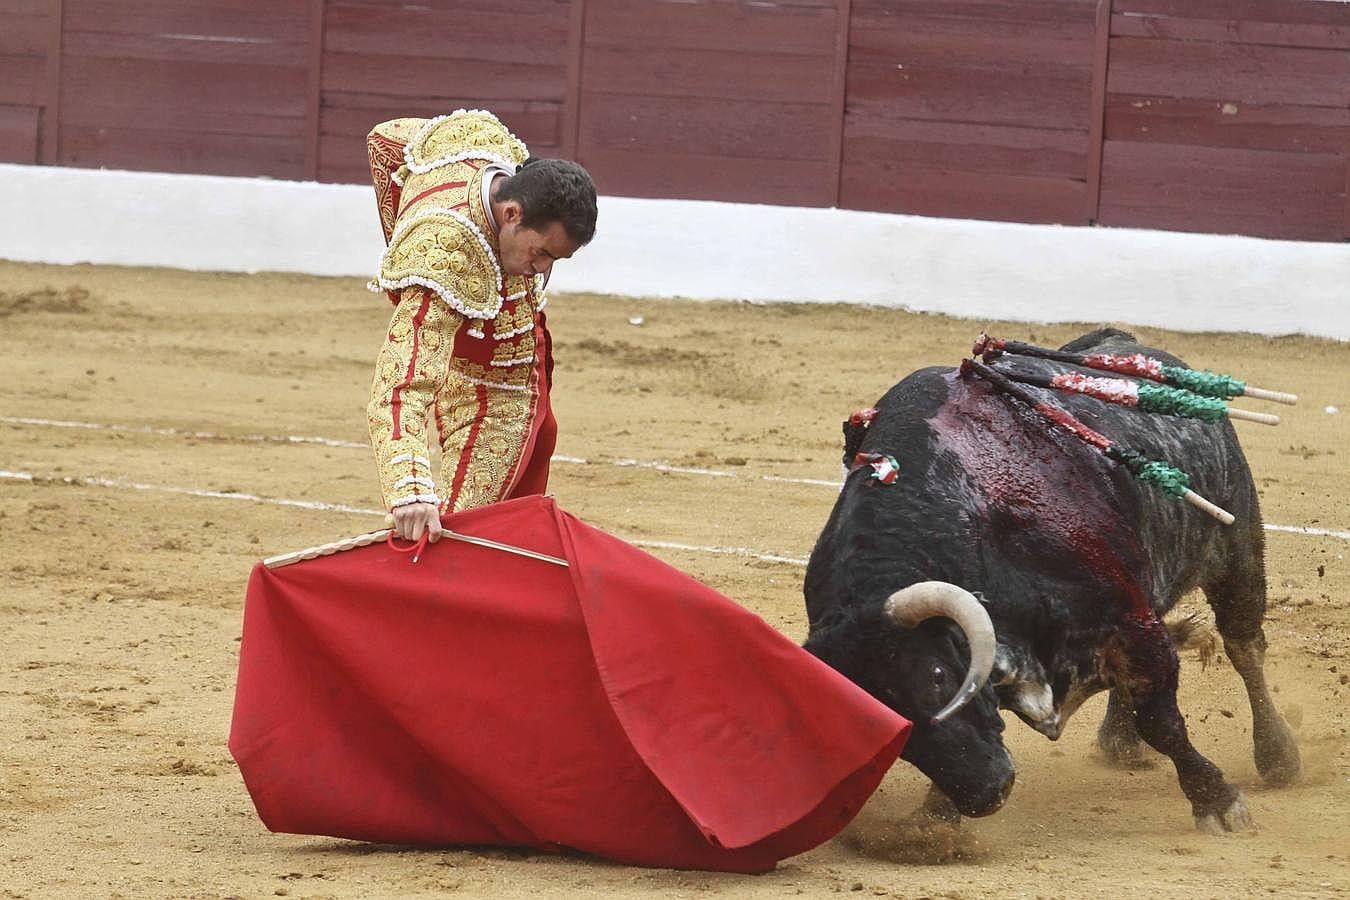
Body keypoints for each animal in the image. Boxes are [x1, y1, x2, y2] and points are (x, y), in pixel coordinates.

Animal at [804, 327, 1301, 836]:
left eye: (938, 675)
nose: (987, 794)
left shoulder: (1130, 622)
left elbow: (1161, 720)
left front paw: (1217, 800)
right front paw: (934, 821)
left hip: (1237, 548)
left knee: (1244, 647)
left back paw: (1278, 755)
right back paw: (1120, 742)